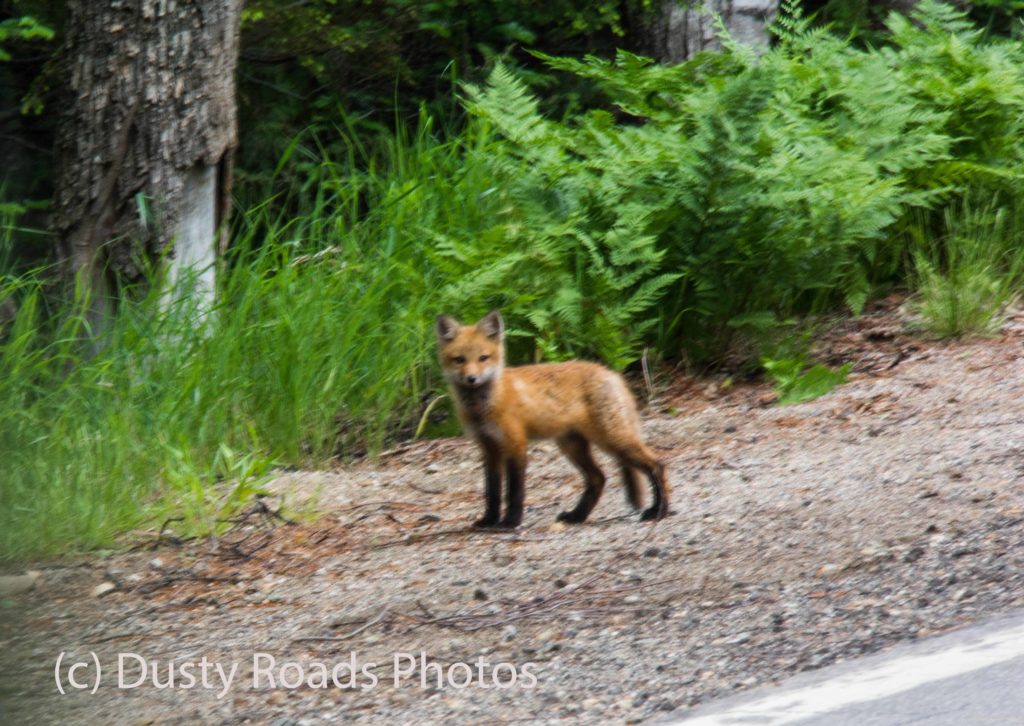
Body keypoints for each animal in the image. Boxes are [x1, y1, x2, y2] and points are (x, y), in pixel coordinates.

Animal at [436, 309, 667, 528]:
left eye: (483, 358)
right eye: (459, 360)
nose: (471, 378)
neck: (484, 407)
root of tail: (610, 373)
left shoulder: (516, 443)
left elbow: (514, 491)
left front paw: (510, 522)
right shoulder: (489, 448)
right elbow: (492, 493)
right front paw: (489, 520)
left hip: (612, 440)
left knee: (656, 465)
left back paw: (659, 511)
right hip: (572, 445)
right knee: (598, 478)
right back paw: (577, 516)